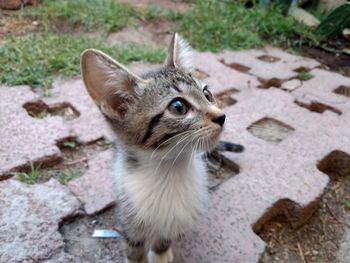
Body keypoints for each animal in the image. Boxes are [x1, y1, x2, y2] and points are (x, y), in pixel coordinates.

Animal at [80, 33, 226, 263]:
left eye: (207, 93)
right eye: (178, 107)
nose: (222, 116)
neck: (170, 170)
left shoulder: (177, 215)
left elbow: (166, 234)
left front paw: (161, 252)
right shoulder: (129, 211)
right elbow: (134, 244)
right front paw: (137, 258)